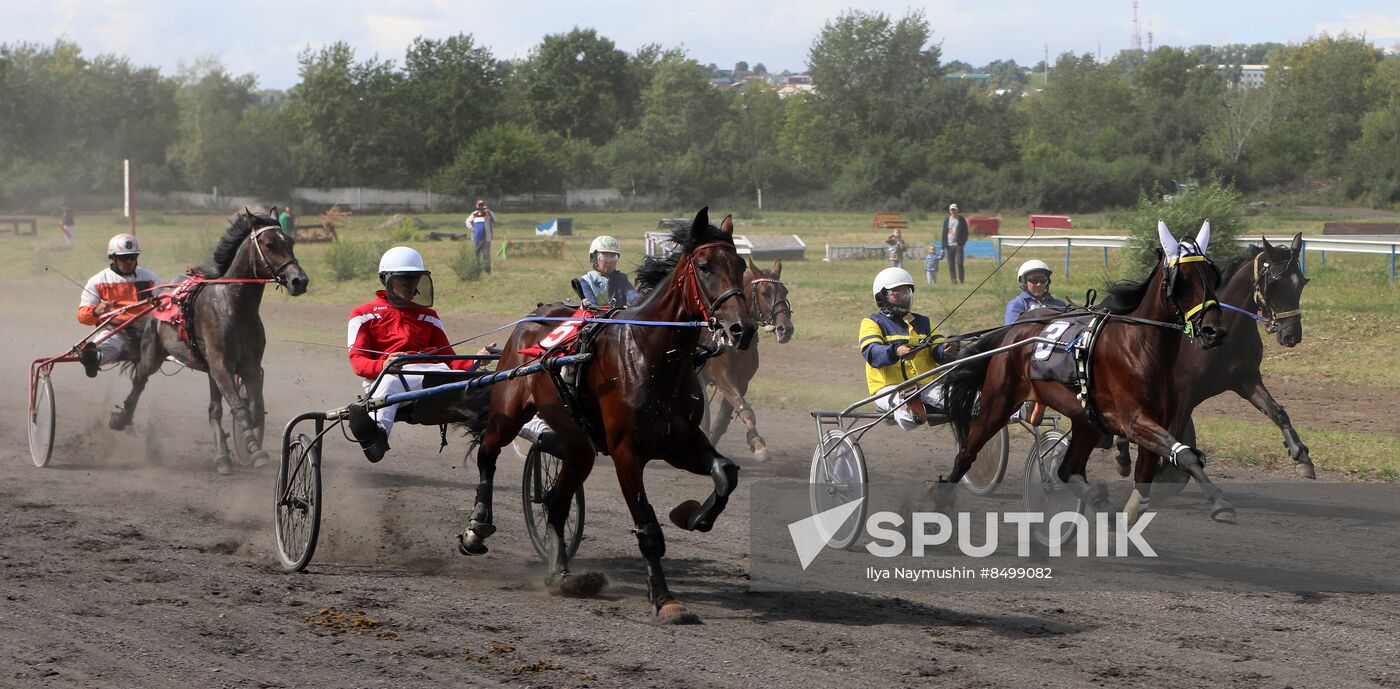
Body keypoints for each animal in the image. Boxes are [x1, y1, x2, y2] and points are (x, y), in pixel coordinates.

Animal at [112, 208, 309, 473]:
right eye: (269, 244)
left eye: (290, 241)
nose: (299, 280)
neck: (234, 306)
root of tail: (159, 295)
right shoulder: (221, 366)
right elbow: (240, 408)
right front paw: (255, 450)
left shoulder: (249, 367)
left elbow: (254, 409)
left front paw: (243, 445)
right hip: (153, 353)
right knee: (139, 380)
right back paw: (121, 418)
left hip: (208, 369)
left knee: (213, 410)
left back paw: (223, 456)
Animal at [459, 207, 756, 621]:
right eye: (705, 265)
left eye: (740, 264)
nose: (741, 329)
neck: (650, 355)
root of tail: (534, 316)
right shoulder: (626, 452)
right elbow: (648, 529)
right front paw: (664, 598)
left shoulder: (680, 441)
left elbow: (725, 473)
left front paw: (693, 515)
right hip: (508, 411)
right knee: (488, 455)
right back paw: (477, 528)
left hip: (579, 447)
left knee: (555, 503)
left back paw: (562, 574)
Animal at [694, 260, 795, 459]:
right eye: (764, 293)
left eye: (785, 291)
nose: (785, 329)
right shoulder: (723, 377)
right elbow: (744, 409)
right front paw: (758, 443)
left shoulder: (742, 380)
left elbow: (726, 416)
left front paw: (754, 440)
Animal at [935, 222, 1232, 520]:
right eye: (1182, 279)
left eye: (1212, 275)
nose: (1214, 331)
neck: (1139, 346)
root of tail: (1016, 328)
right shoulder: (1135, 420)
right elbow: (1185, 455)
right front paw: (1220, 501)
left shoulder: (1154, 420)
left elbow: (1149, 483)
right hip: (998, 402)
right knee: (967, 454)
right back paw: (939, 501)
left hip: (1085, 418)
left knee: (1068, 470)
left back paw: (1098, 501)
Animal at [1108, 233, 1316, 492]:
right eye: (1276, 284)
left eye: (1302, 283)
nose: (1292, 335)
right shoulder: (1184, 392)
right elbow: (1172, 435)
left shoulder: (1246, 380)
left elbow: (1277, 412)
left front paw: (1301, 456)